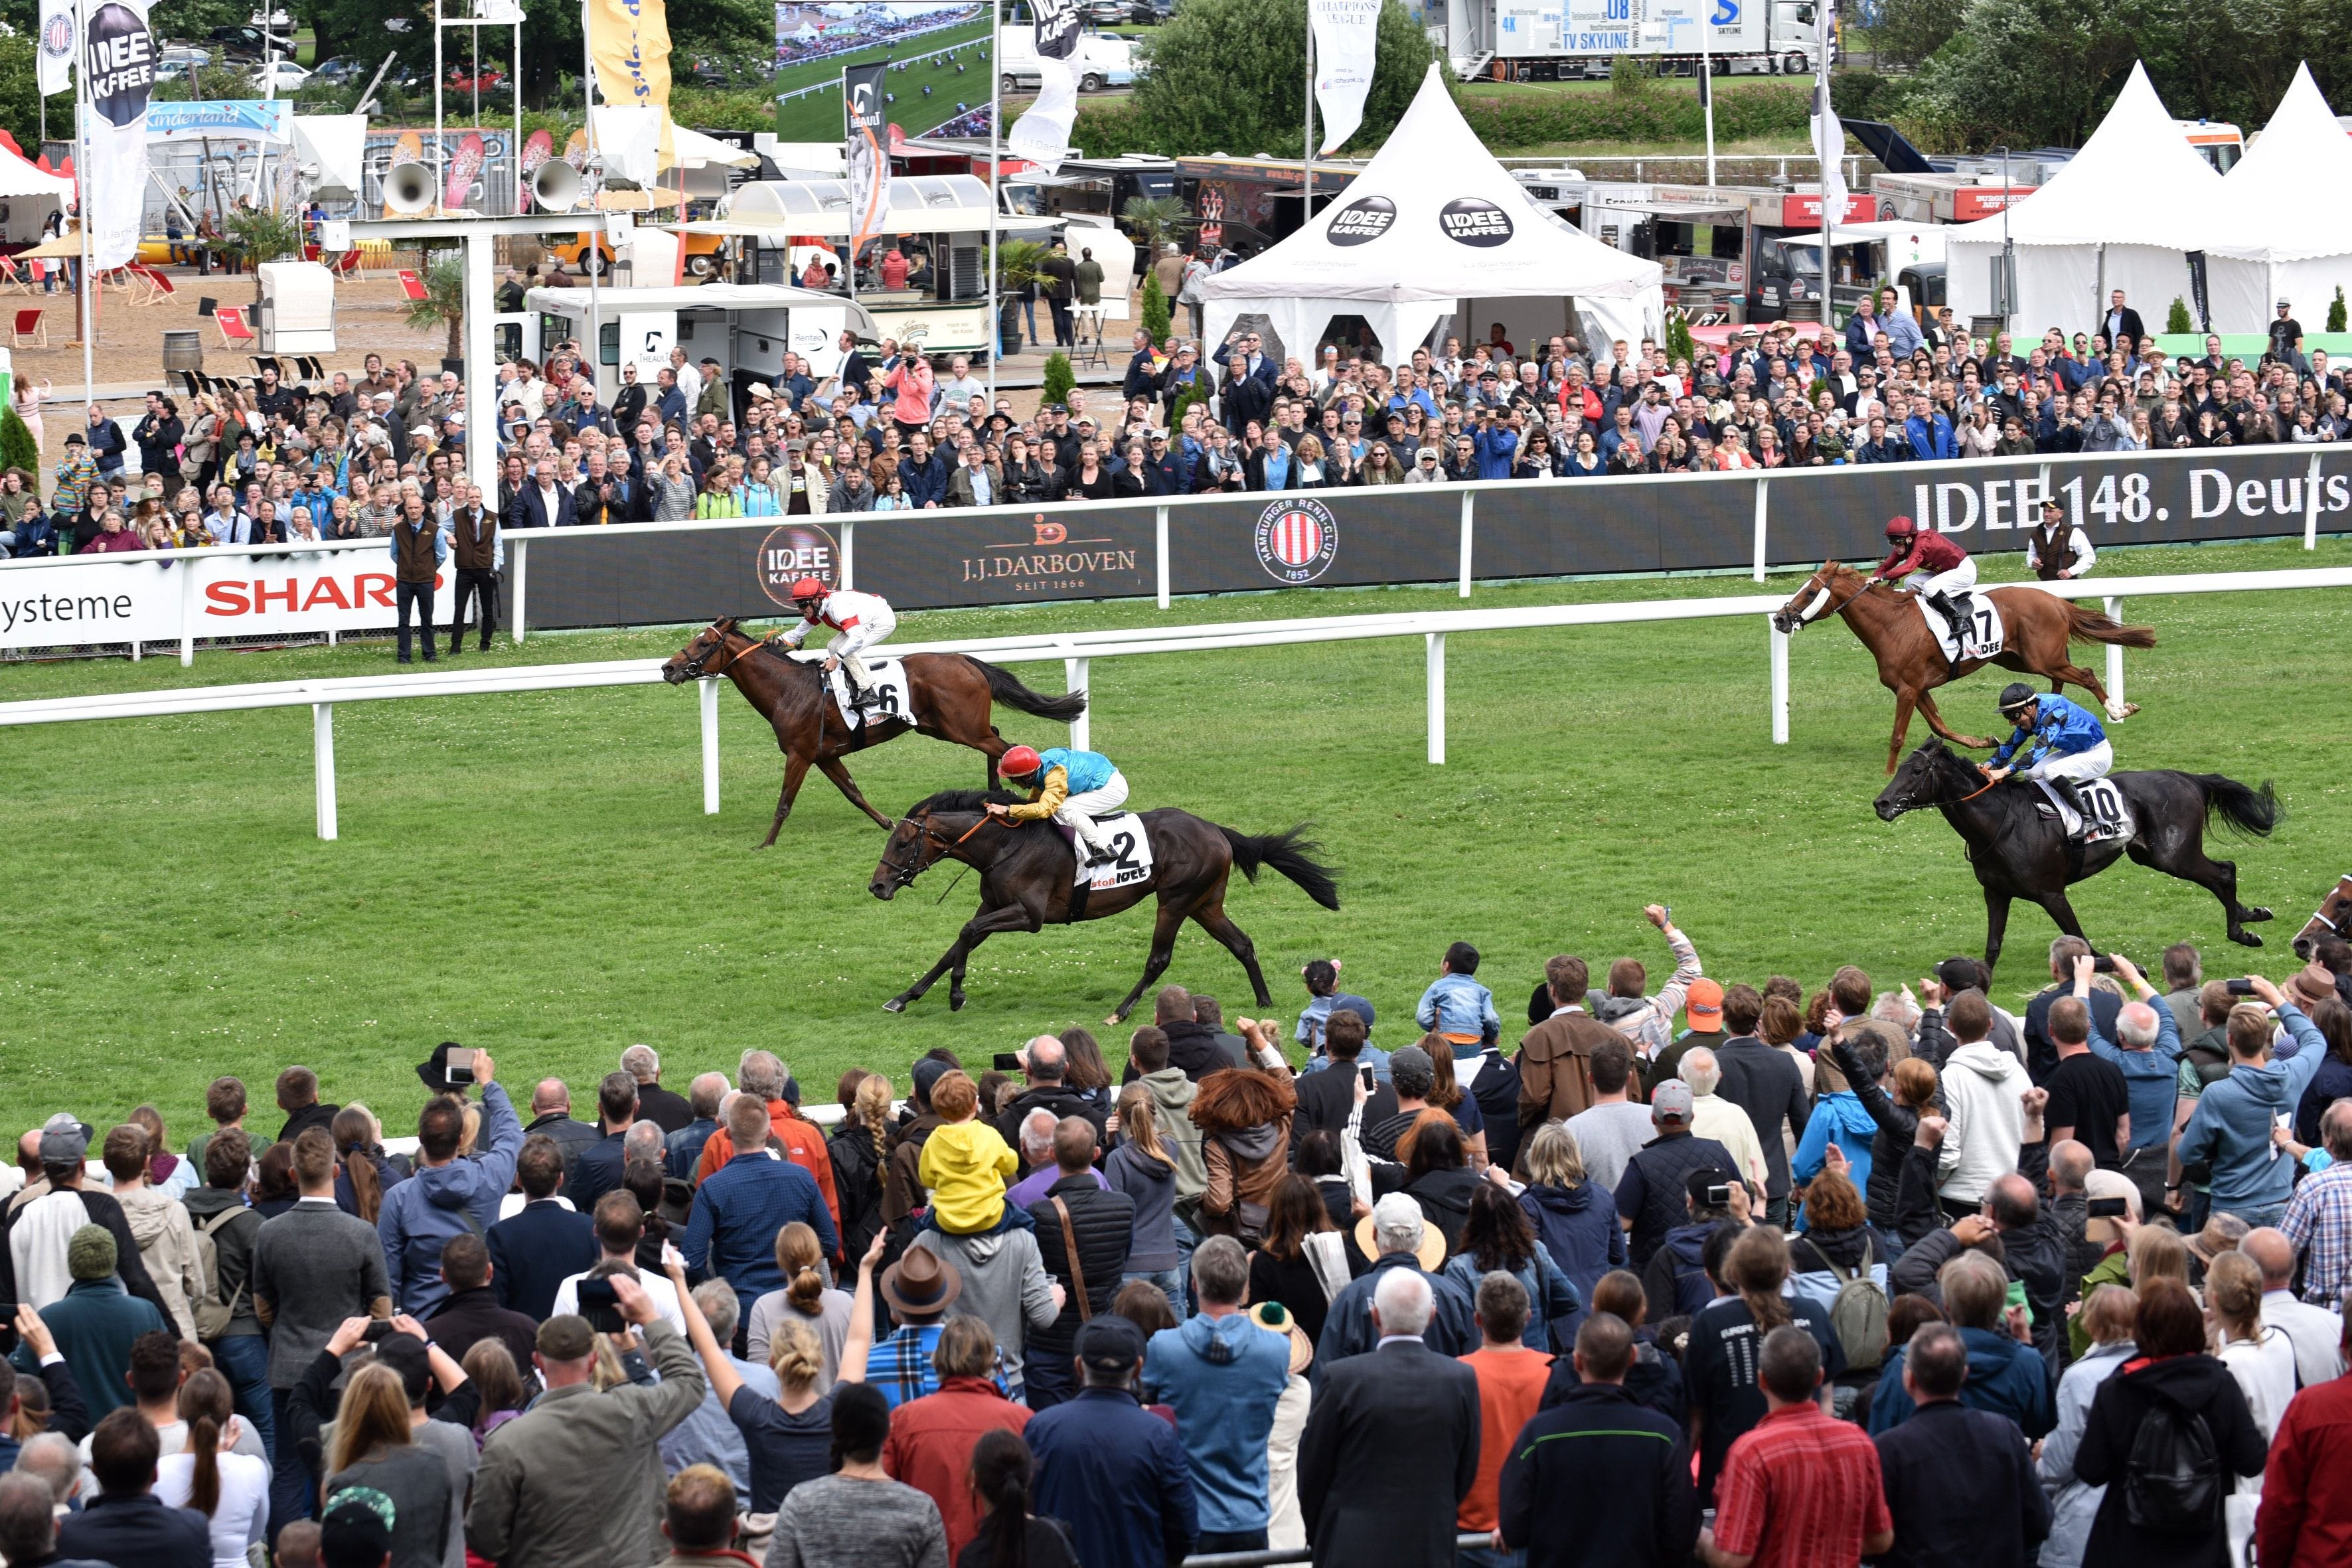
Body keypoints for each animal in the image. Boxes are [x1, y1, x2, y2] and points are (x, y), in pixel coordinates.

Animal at [659, 620, 1086, 846]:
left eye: (703, 642)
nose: (668, 668)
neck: (789, 690)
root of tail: (965, 659)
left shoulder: (800, 753)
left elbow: (784, 802)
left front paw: (765, 843)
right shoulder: (825, 755)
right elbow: (854, 792)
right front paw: (887, 823)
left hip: (962, 728)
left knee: (1008, 746)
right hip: (946, 728)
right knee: (998, 740)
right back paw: (993, 792)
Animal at [870, 789, 1345, 1024]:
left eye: (902, 842)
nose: (877, 886)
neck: (1006, 843)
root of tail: (1215, 829)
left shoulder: (1030, 916)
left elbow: (966, 935)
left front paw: (956, 994)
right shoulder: (994, 905)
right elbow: (955, 945)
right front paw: (904, 998)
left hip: (1176, 899)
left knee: (1159, 959)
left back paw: (1121, 1011)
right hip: (1205, 903)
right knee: (1242, 944)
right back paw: (1264, 1001)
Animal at [1768, 571, 2154, 780]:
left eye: (1811, 591)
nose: (1780, 618)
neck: (1892, 625)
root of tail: (2058, 602)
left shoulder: (1908, 688)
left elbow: (1898, 735)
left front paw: (1889, 773)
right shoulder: (1917, 687)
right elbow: (1940, 726)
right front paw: (1985, 742)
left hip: (2043, 657)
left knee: (2085, 674)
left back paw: (2118, 709)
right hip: (2019, 660)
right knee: (2057, 684)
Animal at [1872, 743, 2276, 973]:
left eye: (1917, 770)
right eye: (1900, 767)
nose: (1882, 803)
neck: (2002, 823)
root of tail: (2187, 778)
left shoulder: (2051, 893)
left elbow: (2082, 943)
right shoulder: (1996, 893)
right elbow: (1992, 947)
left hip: (2173, 855)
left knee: (2224, 872)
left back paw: (2243, 931)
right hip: (2150, 855)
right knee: (2221, 874)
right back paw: (2249, 915)